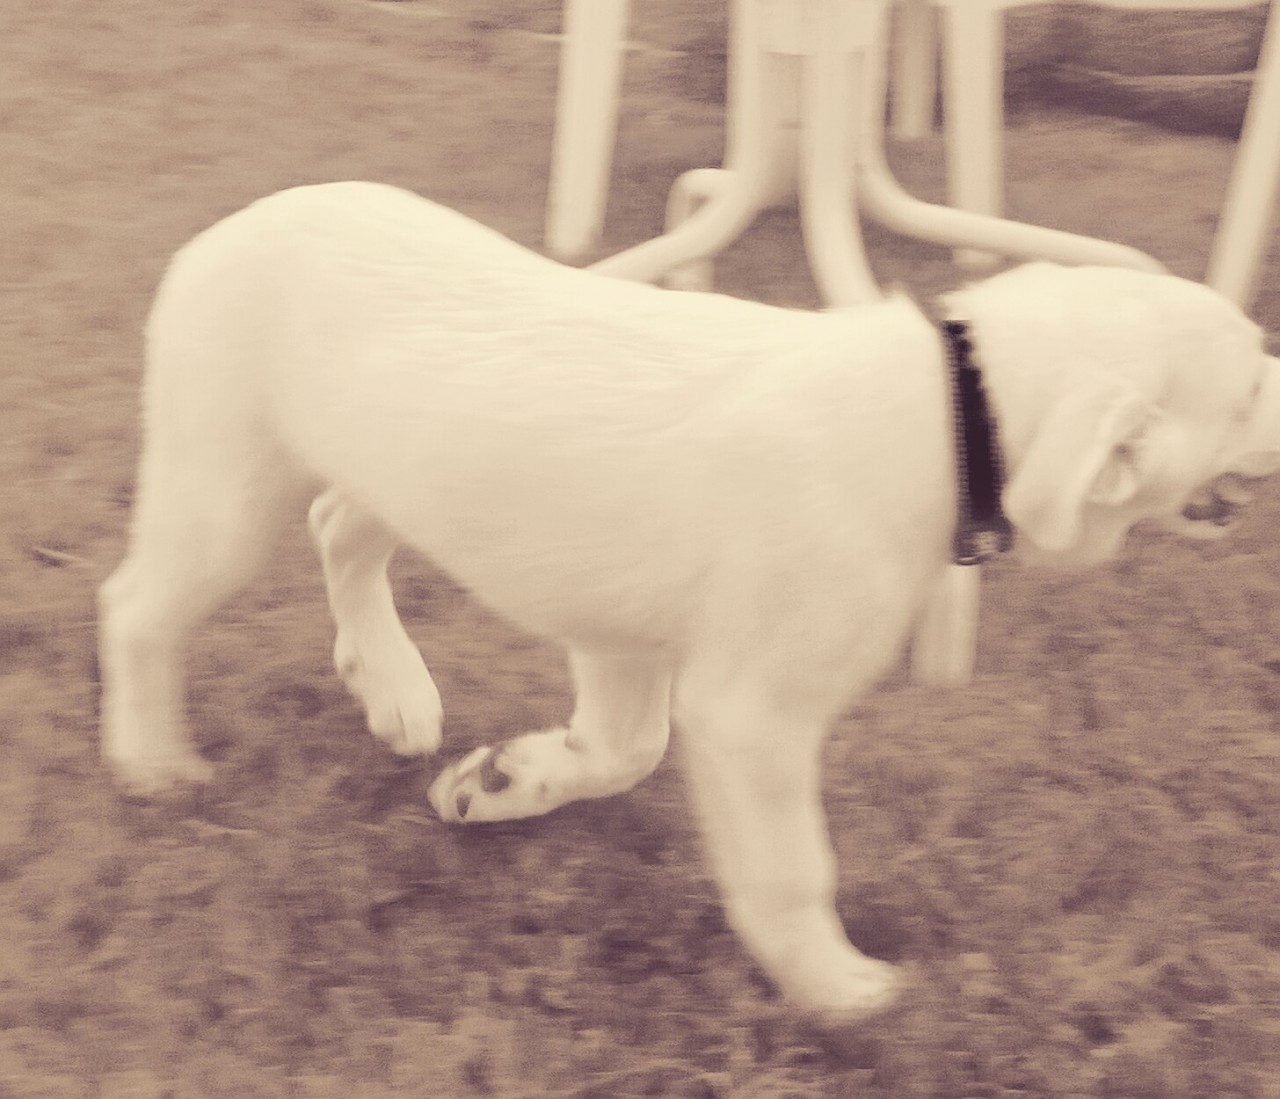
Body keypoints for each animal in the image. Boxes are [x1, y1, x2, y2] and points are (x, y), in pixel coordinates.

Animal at [99, 182, 1280, 1019]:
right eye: (1247, 390)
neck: (955, 415)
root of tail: (229, 227)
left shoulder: (622, 640)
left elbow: (624, 751)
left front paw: (506, 780)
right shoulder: (754, 713)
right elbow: (789, 868)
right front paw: (837, 988)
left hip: (390, 471)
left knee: (339, 530)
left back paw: (392, 685)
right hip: (226, 492)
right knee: (135, 605)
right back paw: (152, 757)